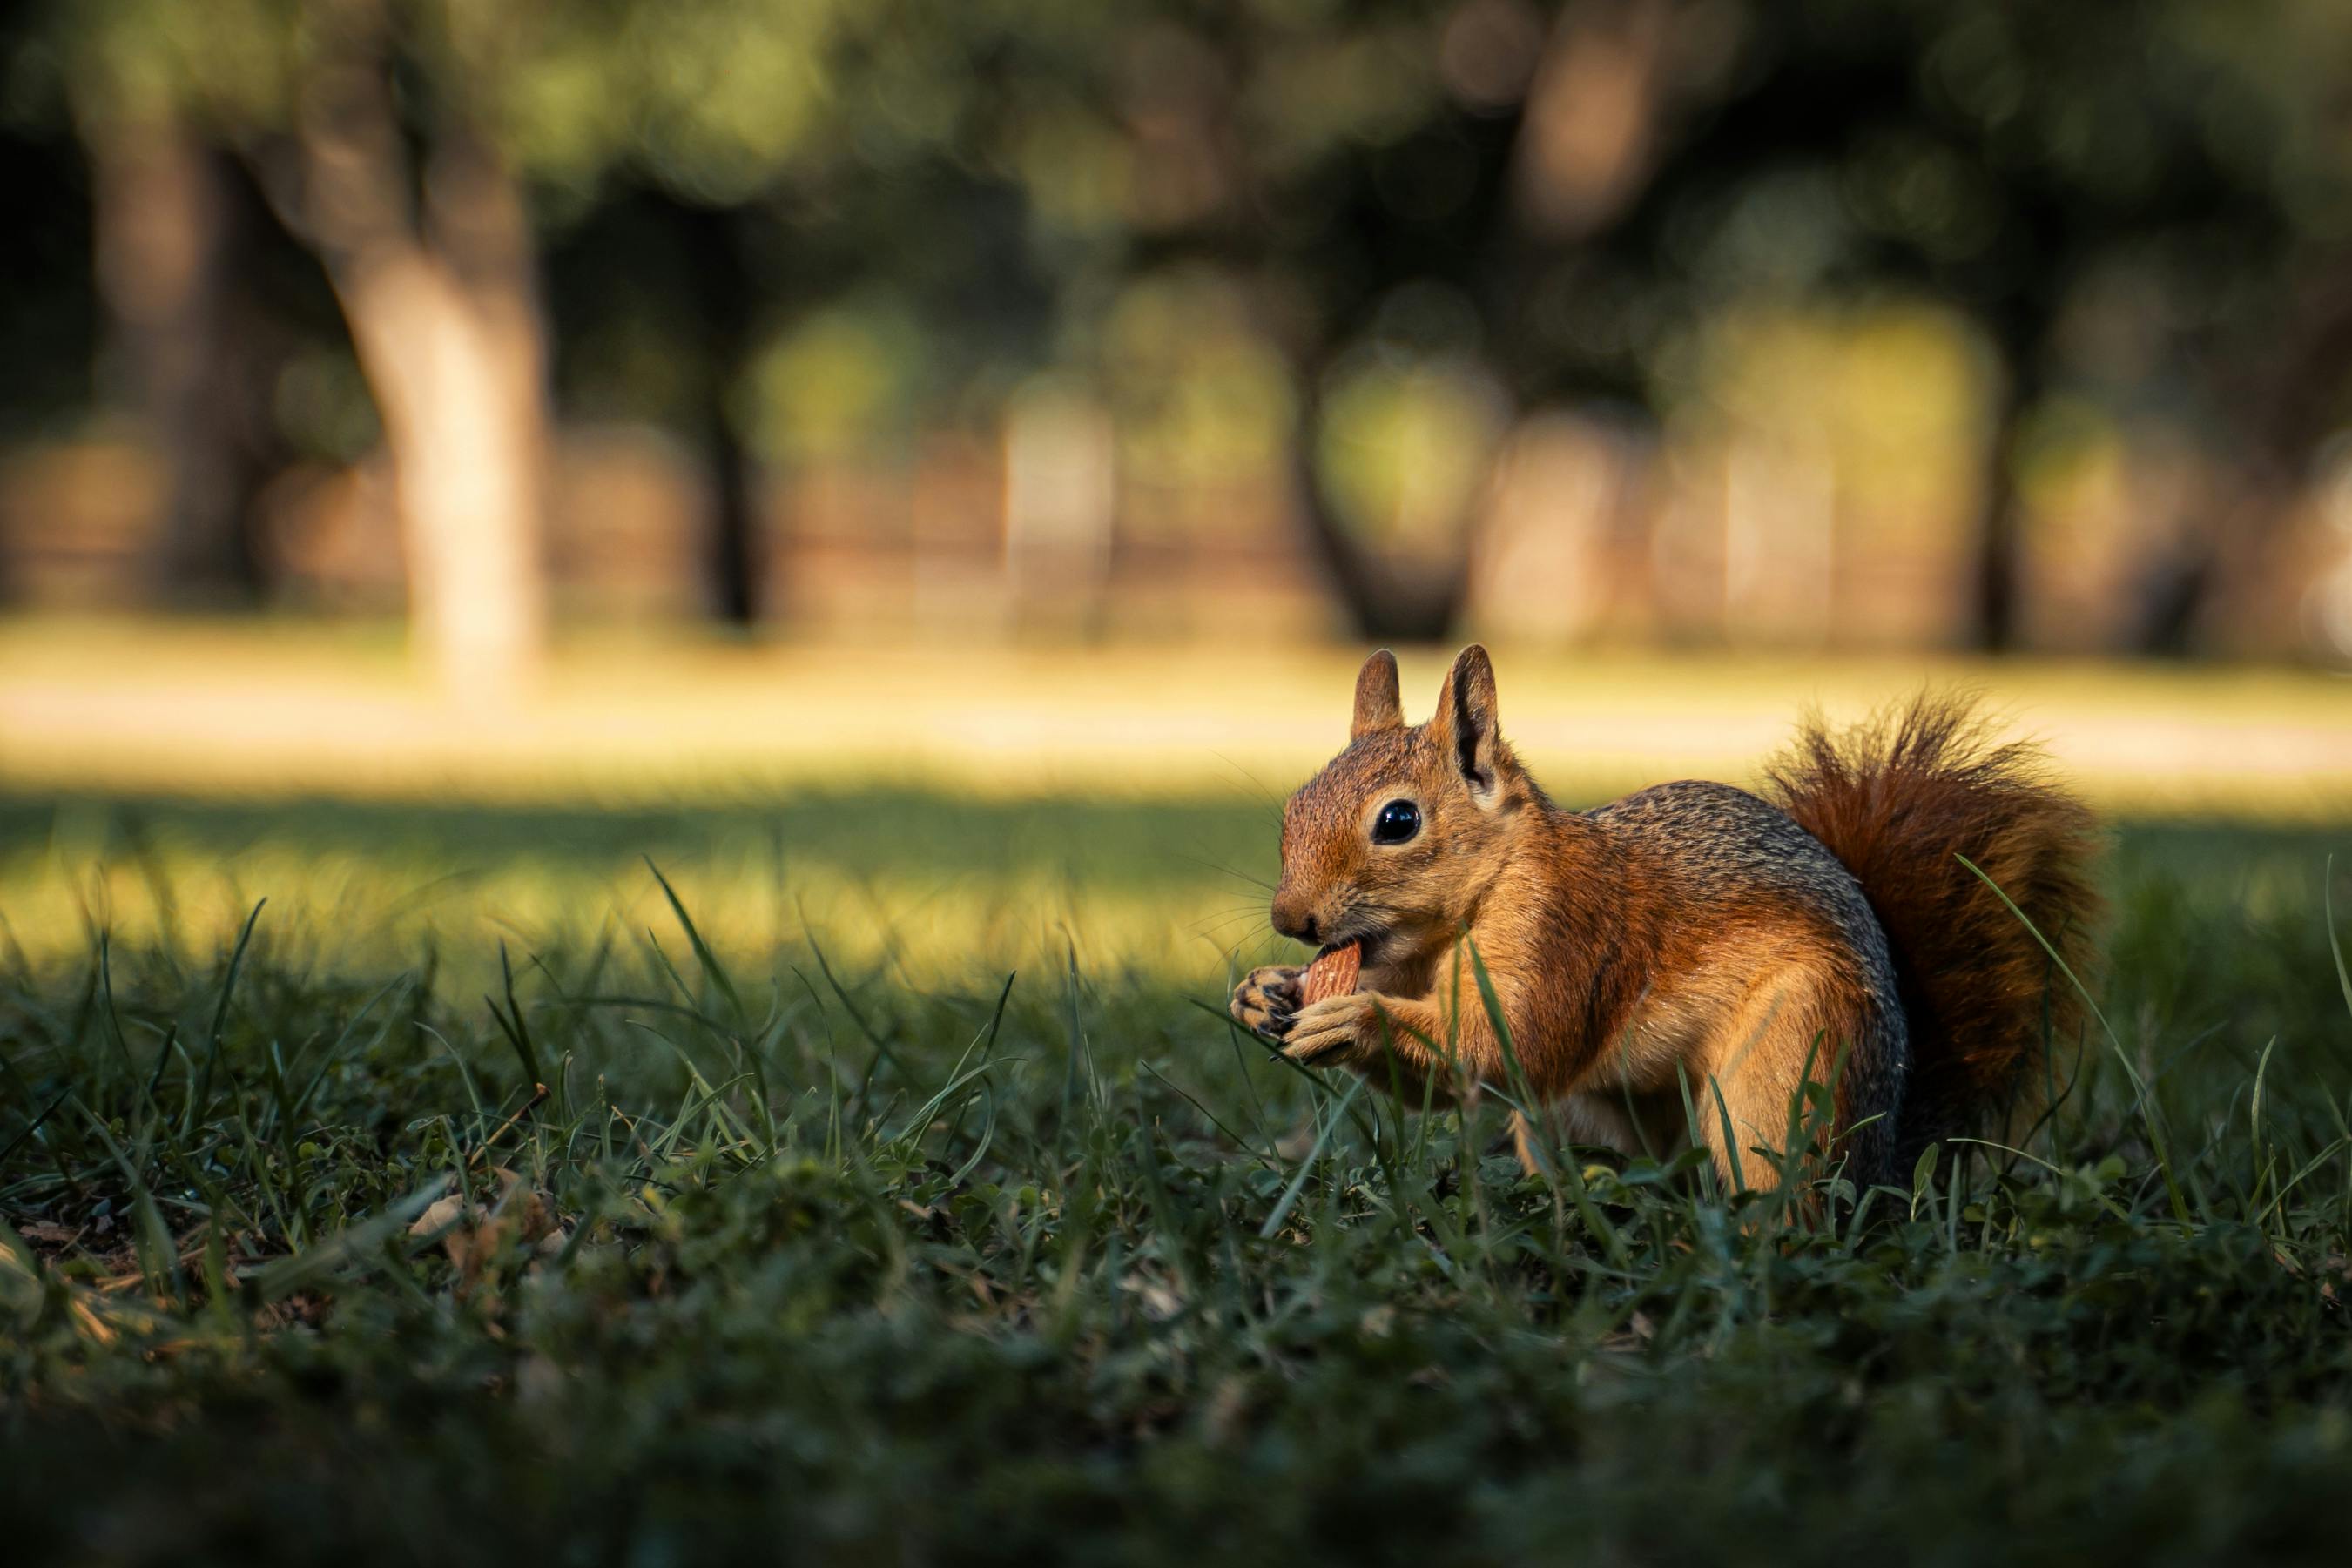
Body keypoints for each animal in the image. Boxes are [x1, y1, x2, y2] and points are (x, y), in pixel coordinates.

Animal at [1229, 646, 2100, 1193]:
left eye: (1398, 821)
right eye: (1294, 806)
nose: (1290, 917)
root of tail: (1883, 1144)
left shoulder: (1567, 934)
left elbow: (1509, 1044)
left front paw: (1354, 1018)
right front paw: (1260, 992)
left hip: (1788, 1066)